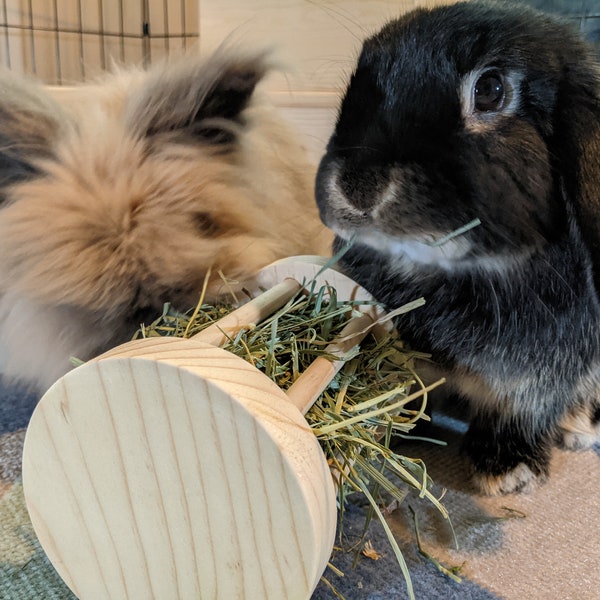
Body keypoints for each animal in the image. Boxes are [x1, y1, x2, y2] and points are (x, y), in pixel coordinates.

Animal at [316, 2, 596, 494]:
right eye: (361, 79)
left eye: (490, 90)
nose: (357, 186)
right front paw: (399, 425)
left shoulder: (538, 377)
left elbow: (519, 409)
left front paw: (509, 473)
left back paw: (578, 429)